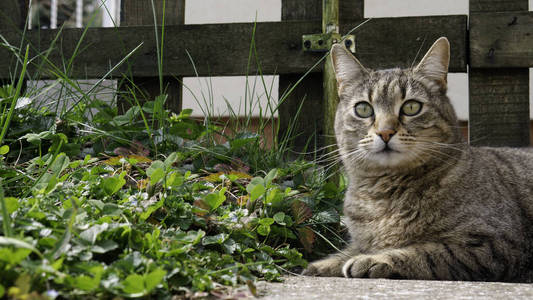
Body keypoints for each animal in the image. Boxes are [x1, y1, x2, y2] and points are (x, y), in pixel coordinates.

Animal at [302, 37, 532, 282]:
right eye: (363, 109)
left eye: (411, 107)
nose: (385, 132)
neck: (381, 198)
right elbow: (349, 250)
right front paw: (325, 264)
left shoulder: (493, 245)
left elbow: (426, 252)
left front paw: (372, 259)